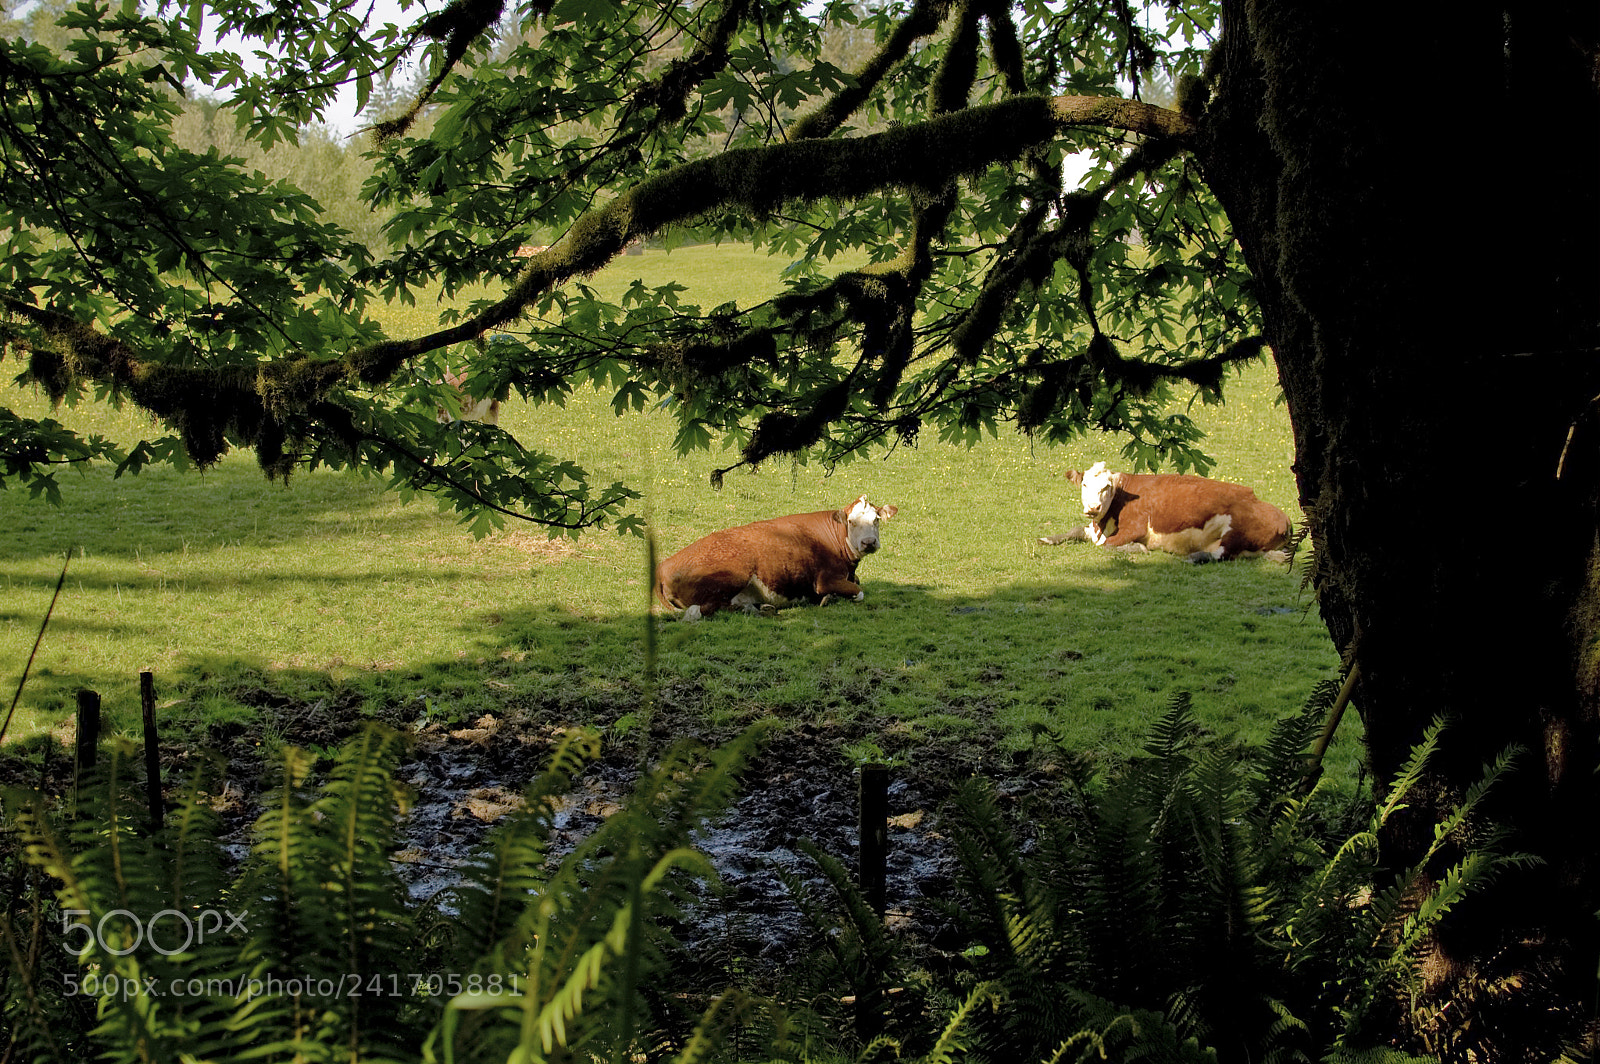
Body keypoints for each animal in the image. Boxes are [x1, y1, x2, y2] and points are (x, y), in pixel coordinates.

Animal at [656, 495, 898, 621]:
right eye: (851, 521)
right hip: (733, 575)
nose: (869, 542)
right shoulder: (825, 579)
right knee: (700, 611)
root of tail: (663, 565)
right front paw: (828, 598)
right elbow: (859, 591)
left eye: (876, 519)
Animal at [1041, 461, 1290, 562]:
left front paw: (1138, 548)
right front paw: (1047, 538)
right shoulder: (1093, 527)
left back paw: (1192, 557)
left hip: (1236, 531)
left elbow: (1106, 545)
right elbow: (1076, 530)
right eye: (1084, 485)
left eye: (1106, 487)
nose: (1093, 508)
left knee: (1221, 554)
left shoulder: (1134, 528)